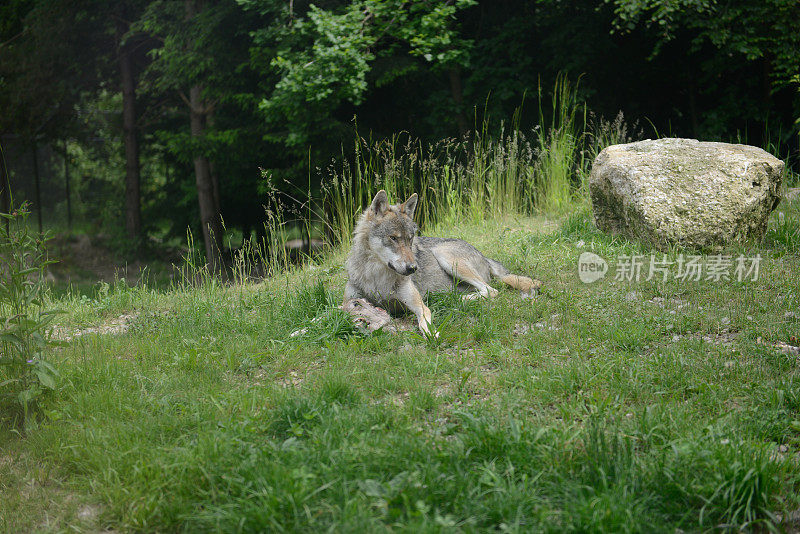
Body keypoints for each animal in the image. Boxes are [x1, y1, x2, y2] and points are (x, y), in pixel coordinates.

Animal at [344, 191, 544, 338]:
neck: (376, 275)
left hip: (444, 255)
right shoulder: (350, 299)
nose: (413, 268)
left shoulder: (418, 304)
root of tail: (484, 256)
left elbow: (425, 318)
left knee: (490, 290)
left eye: (410, 238)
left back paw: (457, 299)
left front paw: (431, 334)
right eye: (393, 238)